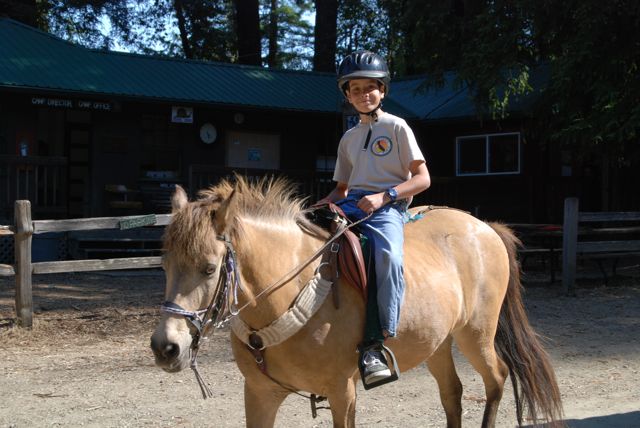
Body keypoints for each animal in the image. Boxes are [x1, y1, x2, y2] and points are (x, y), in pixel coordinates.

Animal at [150, 175, 563, 428]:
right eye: (164, 264)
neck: (288, 293)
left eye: (209, 268)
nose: (166, 347)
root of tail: (484, 227)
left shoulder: (341, 390)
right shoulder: (259, 395)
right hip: (438, 343)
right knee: (453, 393)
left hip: (475, 335)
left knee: (496, 379)